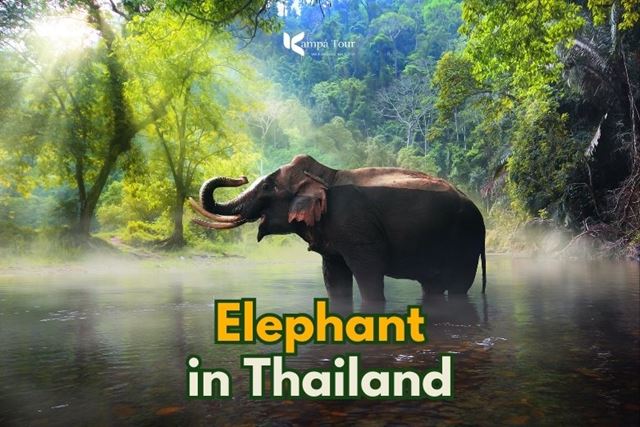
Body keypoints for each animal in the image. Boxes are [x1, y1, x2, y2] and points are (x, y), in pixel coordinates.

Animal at [189, 155, 486, 302]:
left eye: (267, 187)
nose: (241, 176)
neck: (326, 175)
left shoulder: (357, 229)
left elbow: (368, 274)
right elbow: (334, 277)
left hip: (466, 241)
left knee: (458, 286)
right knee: (432, 286)